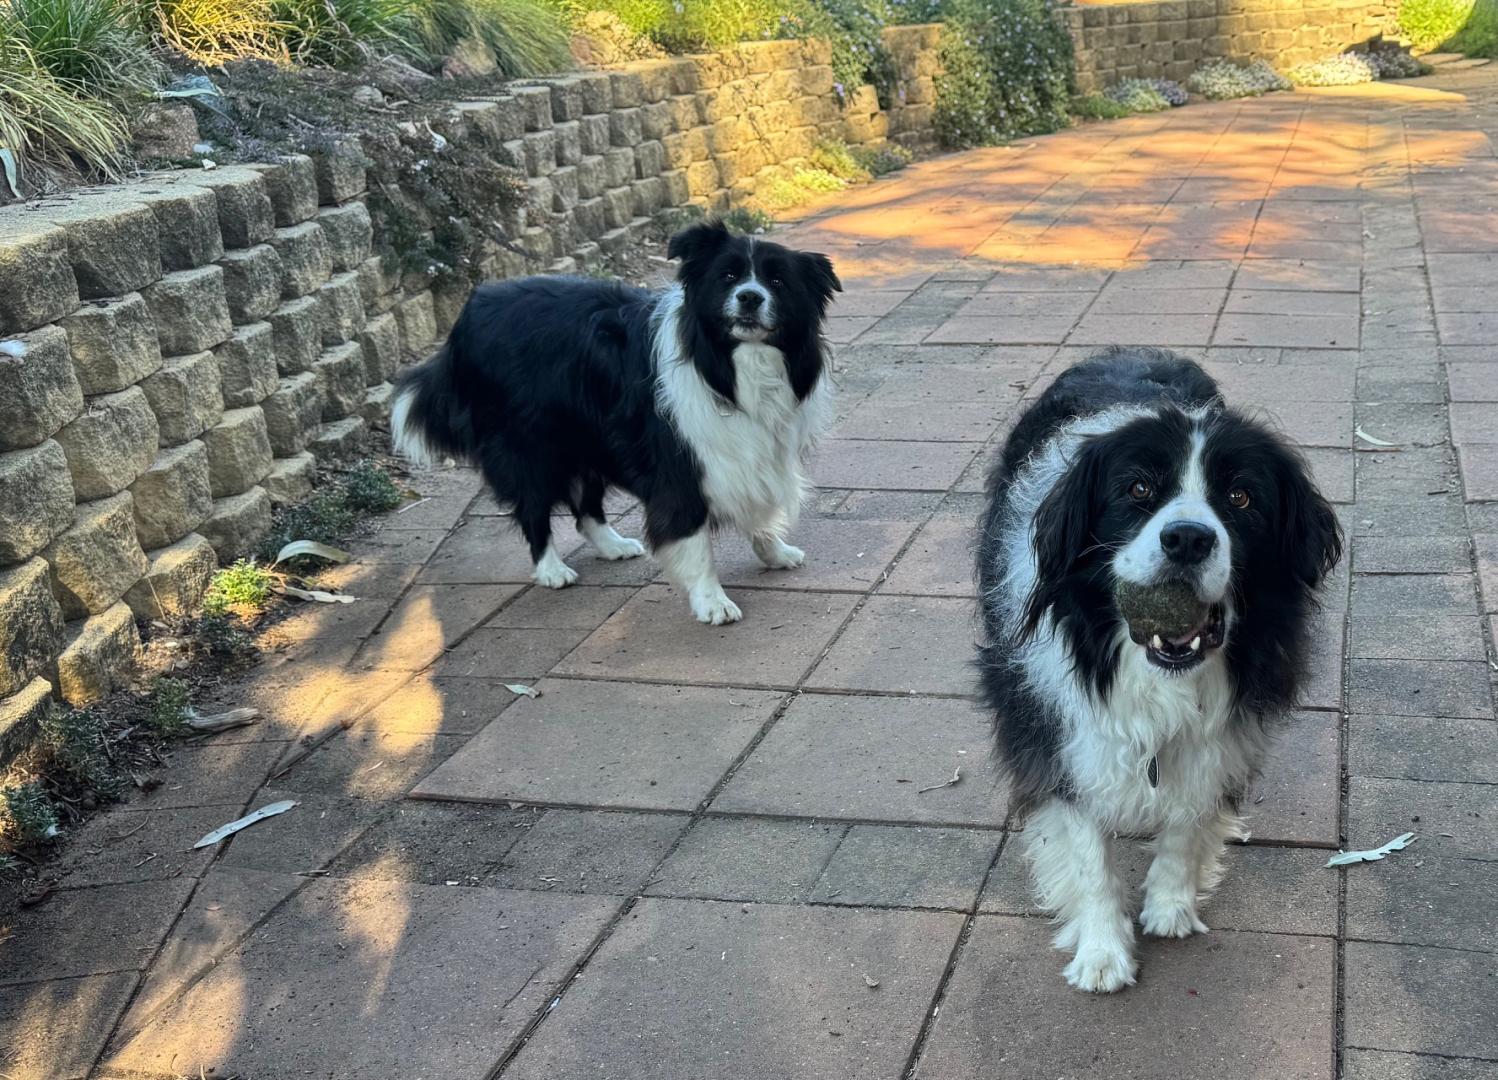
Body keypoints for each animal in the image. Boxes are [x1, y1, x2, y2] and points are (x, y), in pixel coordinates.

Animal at [389, 221, 844, 623]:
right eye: (729, 276)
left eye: (779, 281)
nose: (750, 297)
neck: (732, 364)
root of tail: (471, 309)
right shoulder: (680, 460)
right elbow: (693, 538)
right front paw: (712, 601)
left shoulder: (755, 446)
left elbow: (758, 502)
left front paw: (775, 552)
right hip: (530, 444)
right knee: (534, 505)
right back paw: (551, 569)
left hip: (589, 435)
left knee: (586, 504)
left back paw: (612, 546)